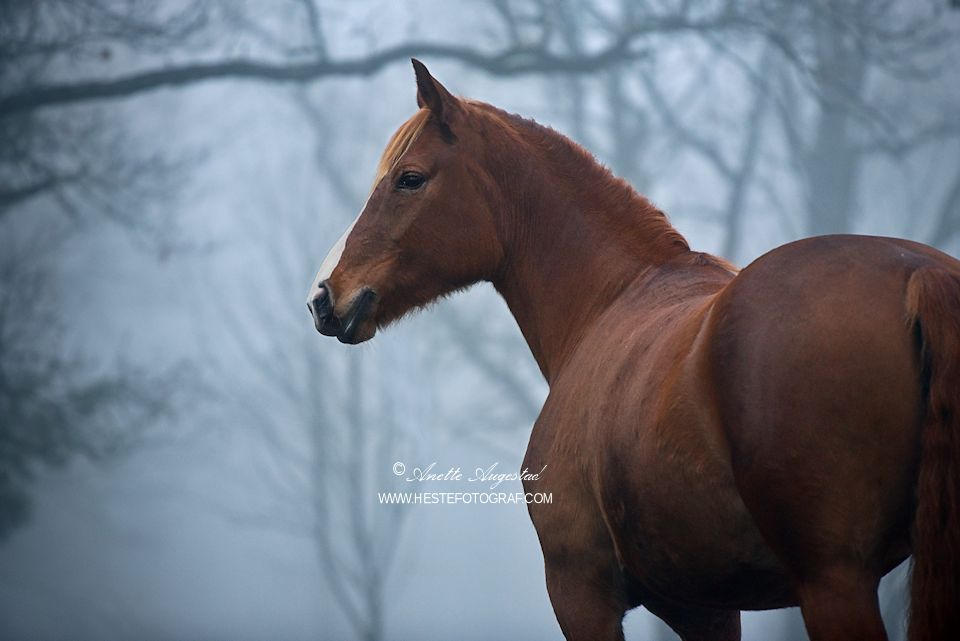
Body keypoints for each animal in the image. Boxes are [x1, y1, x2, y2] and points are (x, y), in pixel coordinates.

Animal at [308, 61, 960, 640]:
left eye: (410, 178)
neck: (608, 300)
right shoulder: (705, 609)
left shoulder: (581, 592)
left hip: (833, 582)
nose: (323, 296)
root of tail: (918, 274)